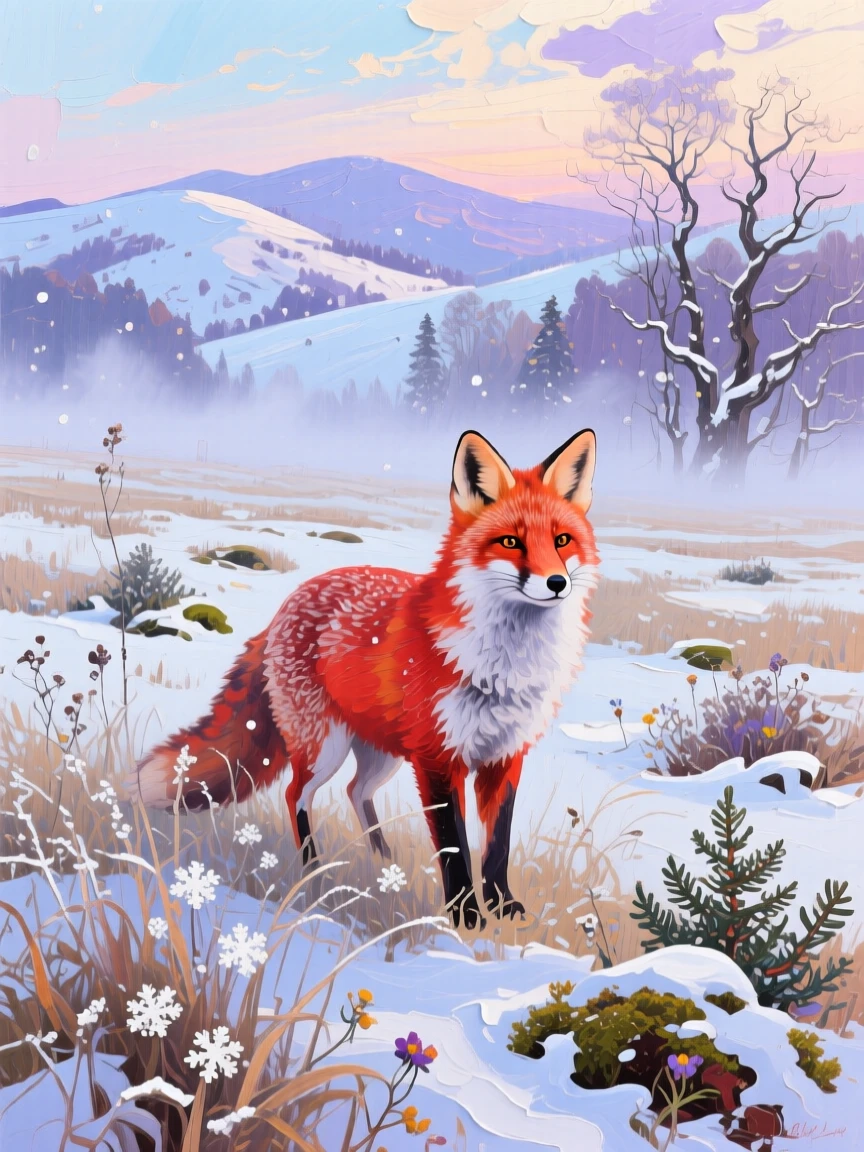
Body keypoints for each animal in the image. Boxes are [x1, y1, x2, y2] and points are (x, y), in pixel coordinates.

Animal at [136, 429, 599, 928]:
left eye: (562, 540)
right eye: (511, 542)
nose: (556, 583)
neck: (502, 668)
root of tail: (284, 606)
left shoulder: (505, 757)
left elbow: (498, 844)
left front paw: (504, 909)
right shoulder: (437, 759)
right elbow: (455, 846)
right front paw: (465, 917)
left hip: (381, 753)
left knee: (356, 791)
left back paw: (382, 859)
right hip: (326, 748)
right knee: (296, 795)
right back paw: (315, 872)